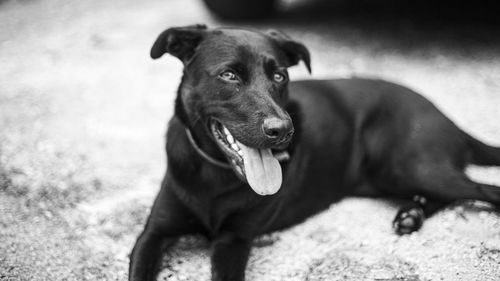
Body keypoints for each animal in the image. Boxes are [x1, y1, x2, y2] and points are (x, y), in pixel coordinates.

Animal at [130, 25, 500, 278]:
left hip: (405, 166)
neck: (215, 176)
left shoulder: (233, 241)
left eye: (279, 75)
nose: (282, 131)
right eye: (229, 74)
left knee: (482, 188)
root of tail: (443, 115)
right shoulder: (153, 234)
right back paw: (412, 213)